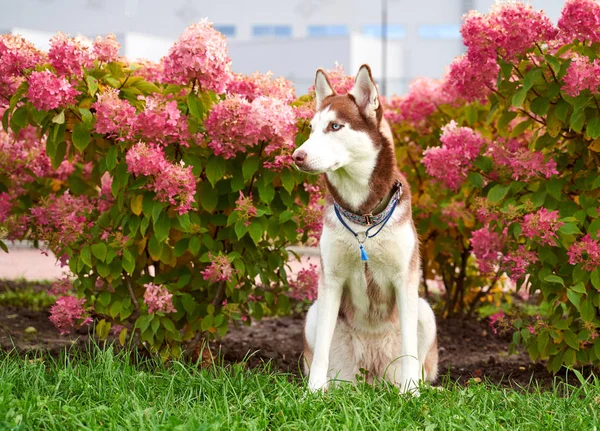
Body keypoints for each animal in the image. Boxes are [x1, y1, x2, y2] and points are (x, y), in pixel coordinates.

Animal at [292, 65, 438, 394]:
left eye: (335, 126)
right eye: (311, 128)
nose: (297, 156)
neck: (363, 216)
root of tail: (372, 373)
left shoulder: (405, 279)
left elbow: (409, 347)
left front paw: (410, 392)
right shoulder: (330, 280)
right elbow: (321, 347)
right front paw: (314, 391)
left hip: (426, 312)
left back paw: (421, 386)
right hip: (313, 314)